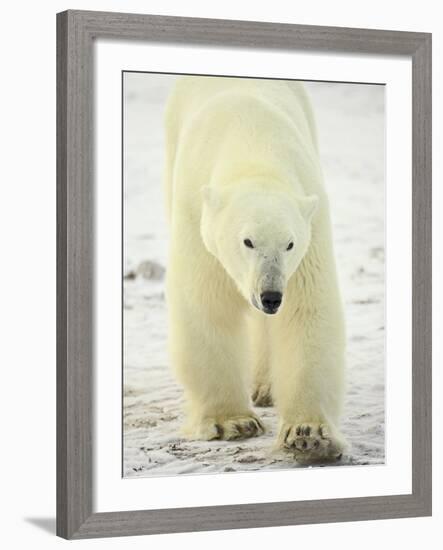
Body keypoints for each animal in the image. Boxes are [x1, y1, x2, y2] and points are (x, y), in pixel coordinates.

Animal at [163, 76, 346, 466]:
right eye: (247, 241)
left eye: (289, 244)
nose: (271, 295)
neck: (253, 146)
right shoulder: (196, 217)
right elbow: (206, 306)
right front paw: (233, 422)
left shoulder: (311, 225)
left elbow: (306, 310)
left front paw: (308, 434)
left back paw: (266, 387)